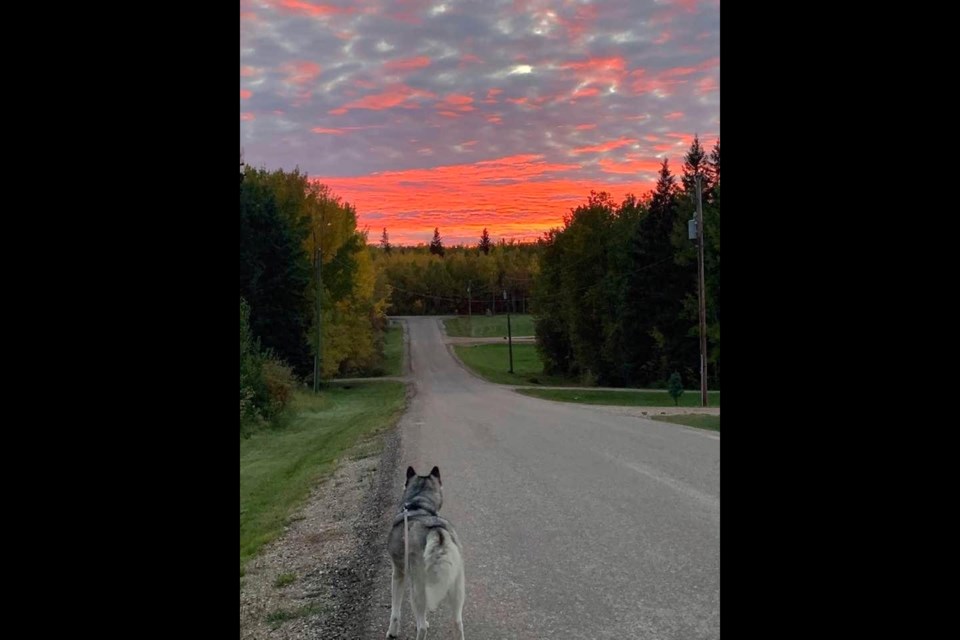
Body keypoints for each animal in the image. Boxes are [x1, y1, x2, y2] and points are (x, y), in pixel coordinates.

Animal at [388, 464, 466, 640]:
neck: (418, 505)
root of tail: (437, 532)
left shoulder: (398, 574)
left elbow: (395, 612)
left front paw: (392, 632)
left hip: (417, 590)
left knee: (422, 628)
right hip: (457, 589)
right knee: (458, 623)